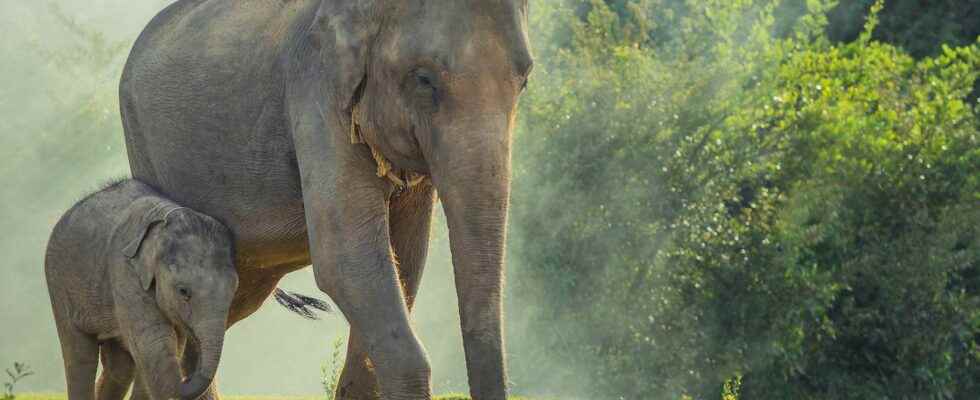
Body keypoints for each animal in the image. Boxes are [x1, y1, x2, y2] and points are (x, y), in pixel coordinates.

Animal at [46, 180, 239, 400]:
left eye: (234, 290)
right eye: (183, 291)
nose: (187, 378)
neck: (165, 217)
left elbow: (170, 343)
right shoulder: (125, 272)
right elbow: (153, 344)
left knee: (121, 367)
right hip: (59, 284)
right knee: (80, 357)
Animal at [122, 0, 536, 400]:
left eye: (525, 80)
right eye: (424, 79)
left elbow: (404, 261)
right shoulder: (317, 96)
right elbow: (346, 263)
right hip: (143, 147)